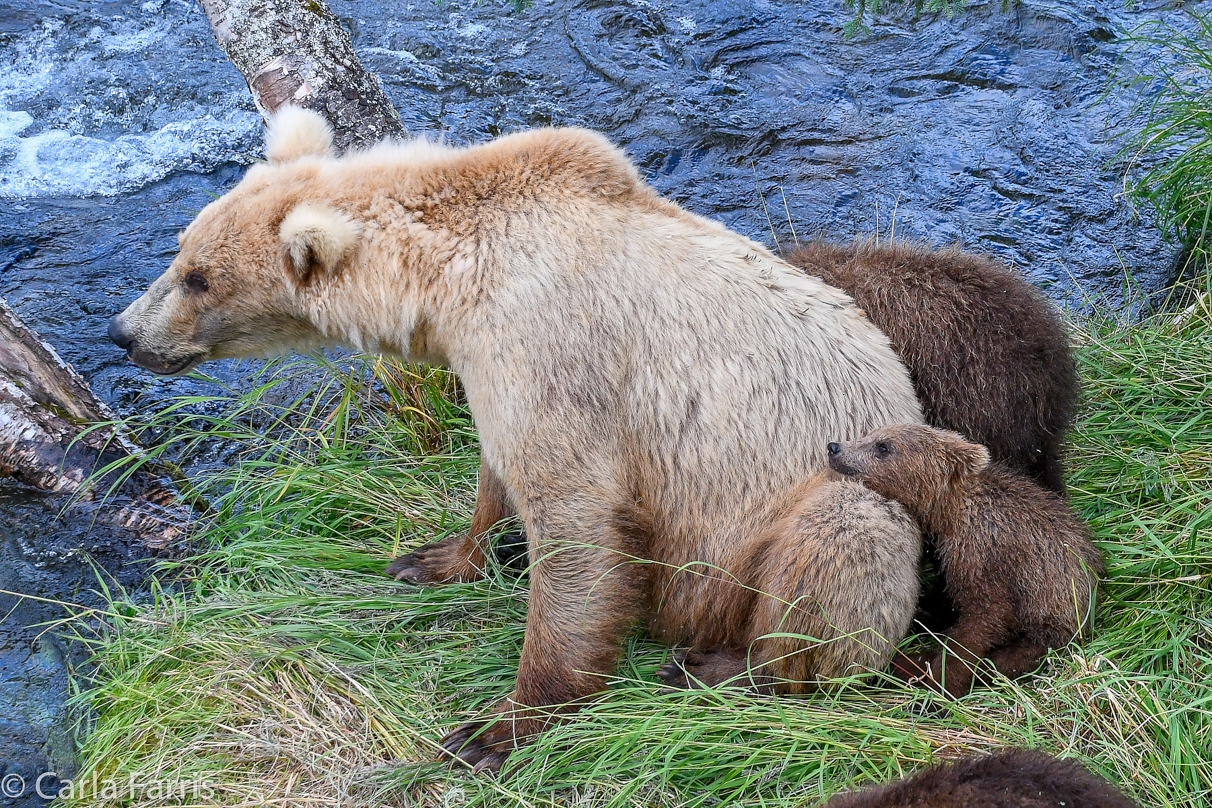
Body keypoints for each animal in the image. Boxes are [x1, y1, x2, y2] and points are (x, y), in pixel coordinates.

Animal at [113, 109, 921, 770]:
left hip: (839, 496)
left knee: (840, 551)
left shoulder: (551, 348)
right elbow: (495, 471)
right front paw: (434, 558)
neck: (449, 279)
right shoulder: (488, 363)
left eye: (199, 278)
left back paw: (723, 667)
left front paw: (493, 729)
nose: (122, 332)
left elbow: (574, 522)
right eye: (180, 248)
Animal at [829, 426, 1105, 697]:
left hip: (1052, 617)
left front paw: (941, 683)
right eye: (870, 434)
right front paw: (925, 616)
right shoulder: (946, 554)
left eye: (884, 446)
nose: (835, 448)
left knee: (1013, 657)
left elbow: (983, 621)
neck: (949, 513)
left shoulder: (987, 556)